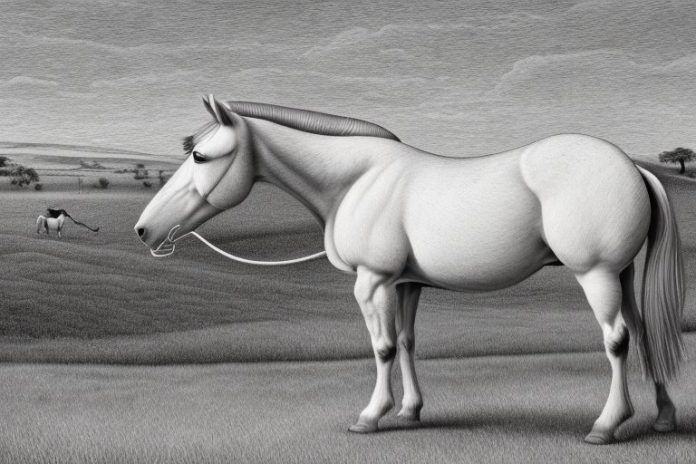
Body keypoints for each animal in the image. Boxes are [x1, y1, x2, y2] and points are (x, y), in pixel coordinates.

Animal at [135, 96, 684, 444]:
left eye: (200, 155)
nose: (144, 230)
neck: (357, 180)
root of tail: (633, 167)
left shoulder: (372, 281)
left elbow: (380, 347)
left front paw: (370, 416)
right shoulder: (406, 285)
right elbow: (405, 343)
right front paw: (409, 411)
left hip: (596, 274)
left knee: (617, 339)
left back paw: (607, 425)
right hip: (622, 274)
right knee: (643, 331)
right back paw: (663, 417)